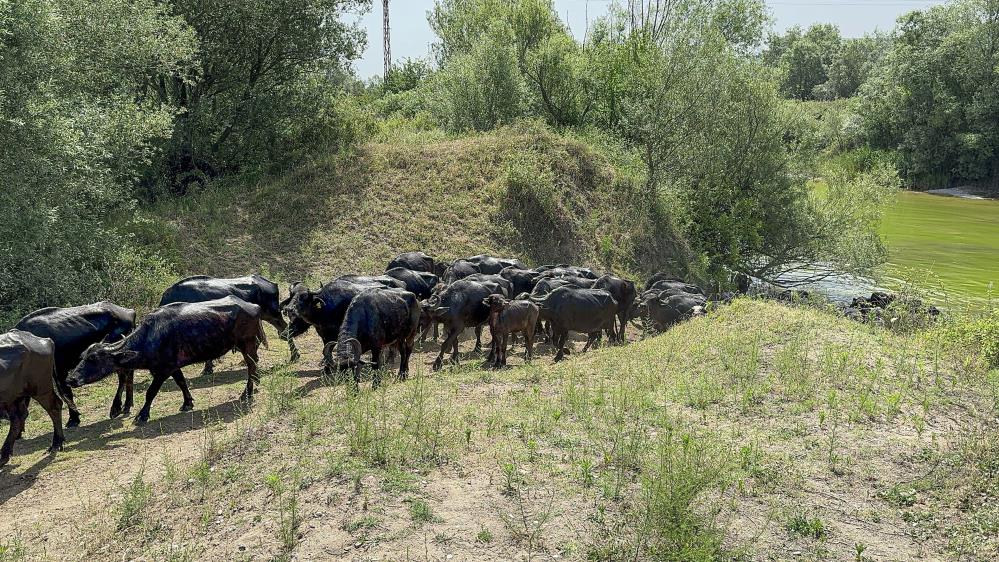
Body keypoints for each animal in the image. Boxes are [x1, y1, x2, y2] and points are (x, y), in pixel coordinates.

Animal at [0, 328, 62, 464]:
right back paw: (4, 455)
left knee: (54, 407)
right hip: (13, 396)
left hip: (40, 389)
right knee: (18, 419)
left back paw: (56, 443)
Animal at [68, 298, 268, 420]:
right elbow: (182, 383)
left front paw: (142, 415)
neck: (150, 337)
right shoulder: (174, 367)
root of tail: (254, 306)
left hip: (247, 344)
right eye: (82, 356)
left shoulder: (162, 371)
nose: (71, 379)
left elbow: (150, 392)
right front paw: (187, 403)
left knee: (251, 367)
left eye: (94, 359)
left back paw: (246, 393)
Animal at [160, 272, 296, 372]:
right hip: (267, 317)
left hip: (273, 314)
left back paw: (294, 356)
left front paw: (208, 368)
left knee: (285, 330)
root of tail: (270, 283)